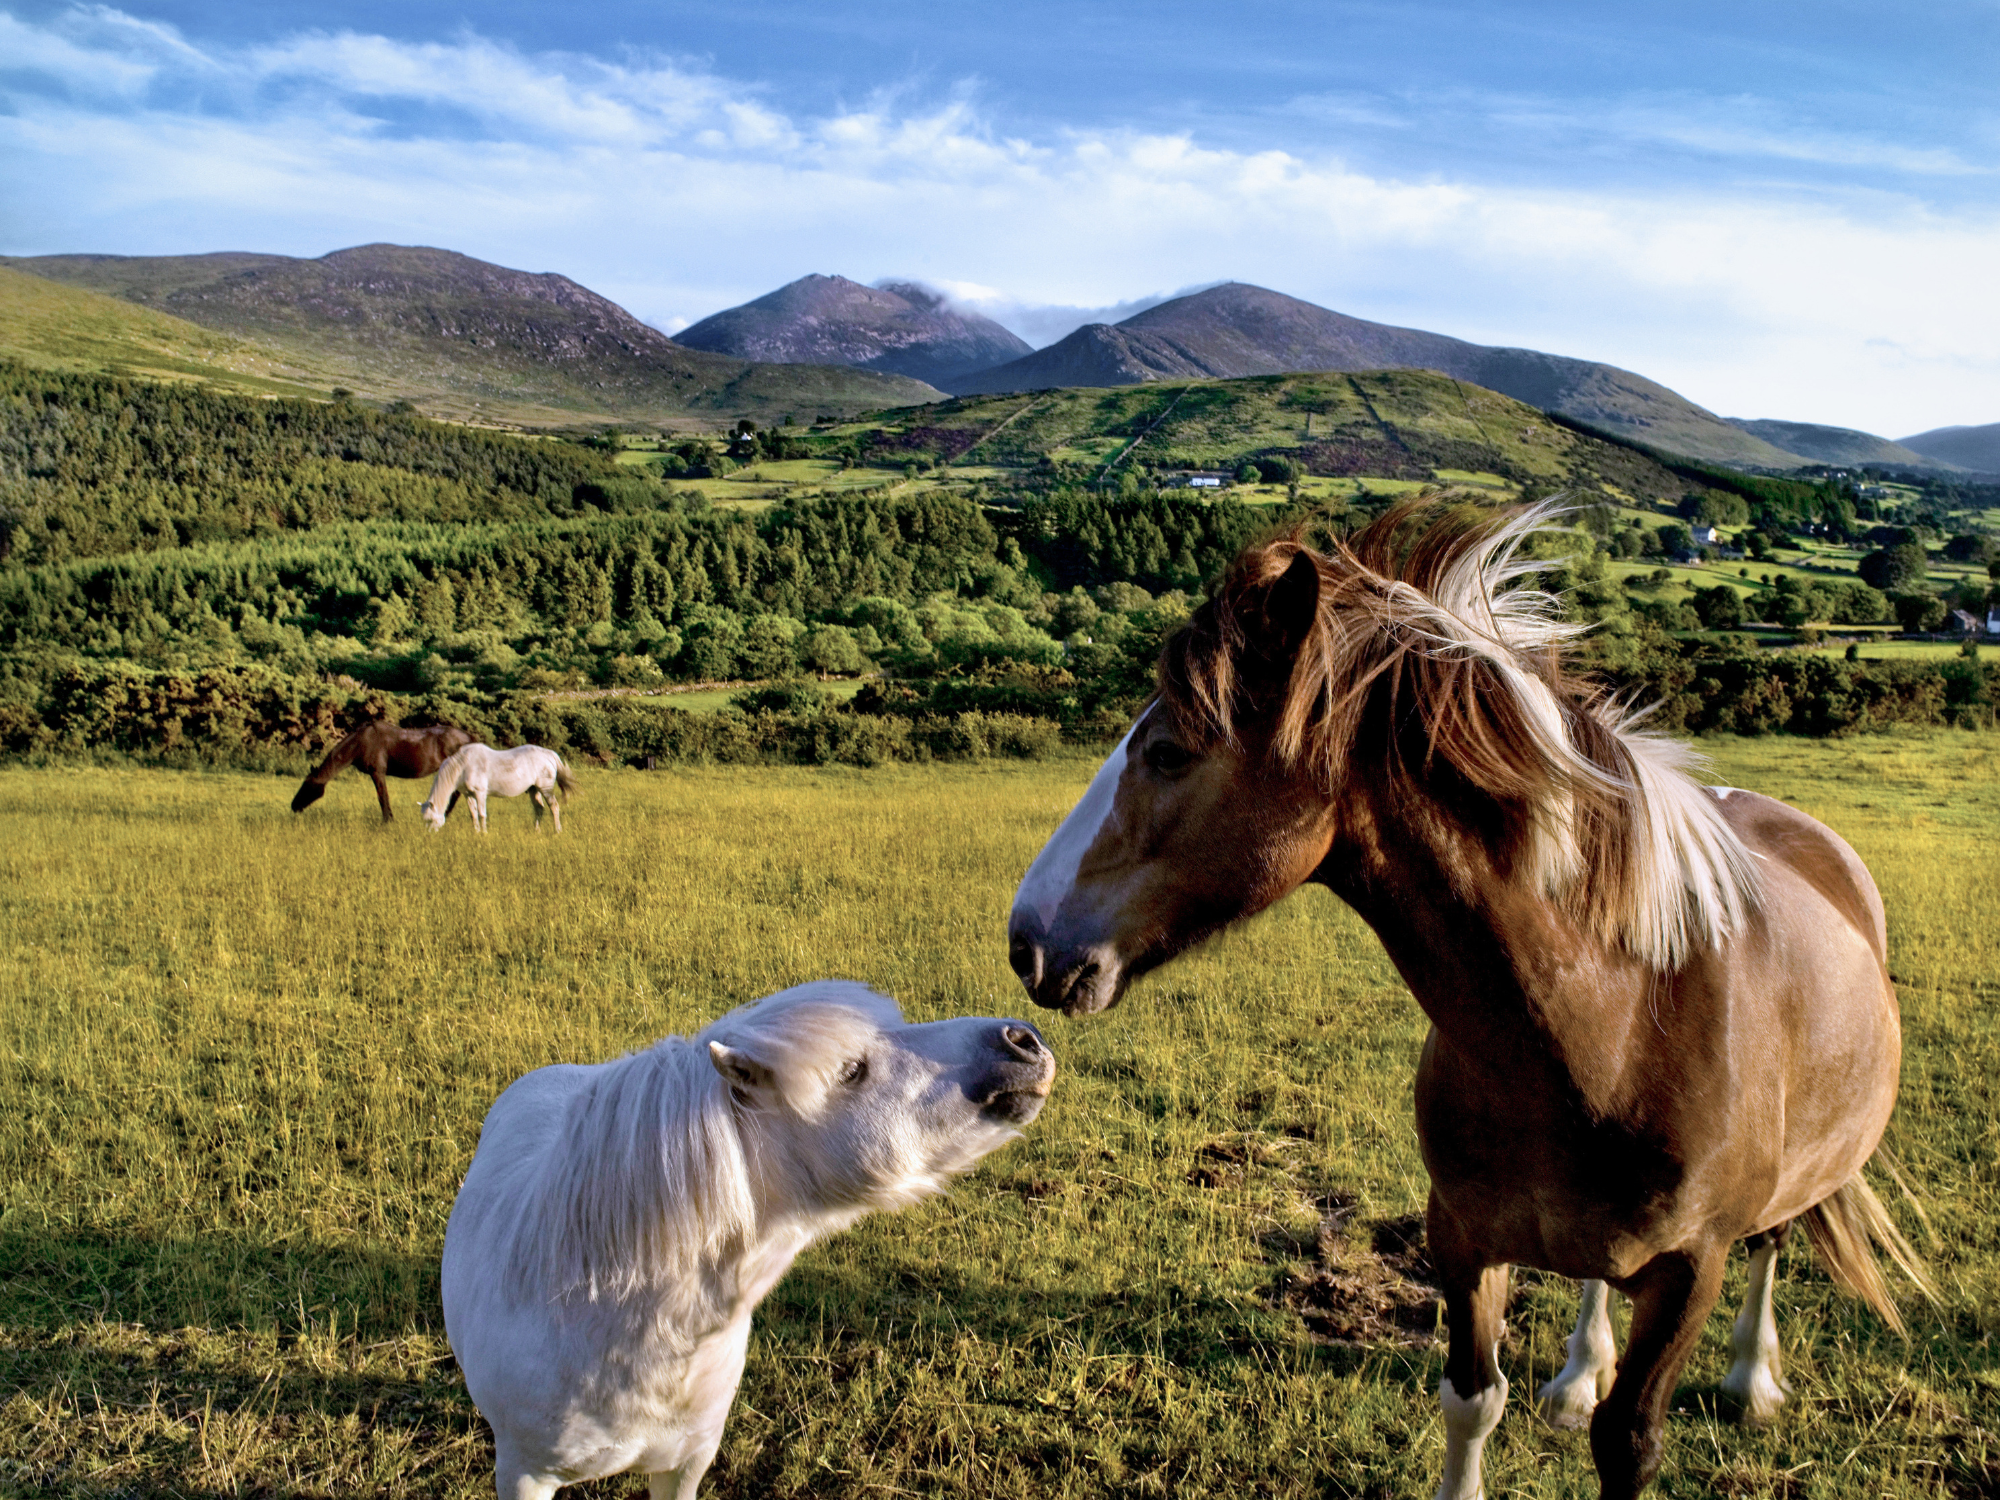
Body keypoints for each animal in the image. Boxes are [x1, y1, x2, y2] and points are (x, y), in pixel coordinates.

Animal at [291, 720, 472, 822]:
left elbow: (383, 797)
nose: (293, 806)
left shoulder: (377, 773)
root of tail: (468, 737)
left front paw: (388, 821)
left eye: (307, 786)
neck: (361, 742)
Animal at [419, 744, 576, 834]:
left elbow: (482, 814)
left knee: (554, 807)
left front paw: (484, 833)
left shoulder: (480, 793)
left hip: (546, 788)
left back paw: (557, 831)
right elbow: (473, 814)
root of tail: (549, 754)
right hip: (534, 789)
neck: (464, 765)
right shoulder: (468, 795)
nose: (428, 836)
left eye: (430, 820)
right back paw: (536, 831)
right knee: (539, 809)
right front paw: (476, 832)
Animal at [1005, 500, 1929, 1500]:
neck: (1614, 1032)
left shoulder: (1690, 1270)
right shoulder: (1461, 1235)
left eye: (1171, 752)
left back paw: (1752, 1378)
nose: (1027, 940)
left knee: (1774, 1242)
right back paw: (1577, 1373)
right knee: (1597, 1280)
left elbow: (1629, 1442)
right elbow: (1471, 1401)